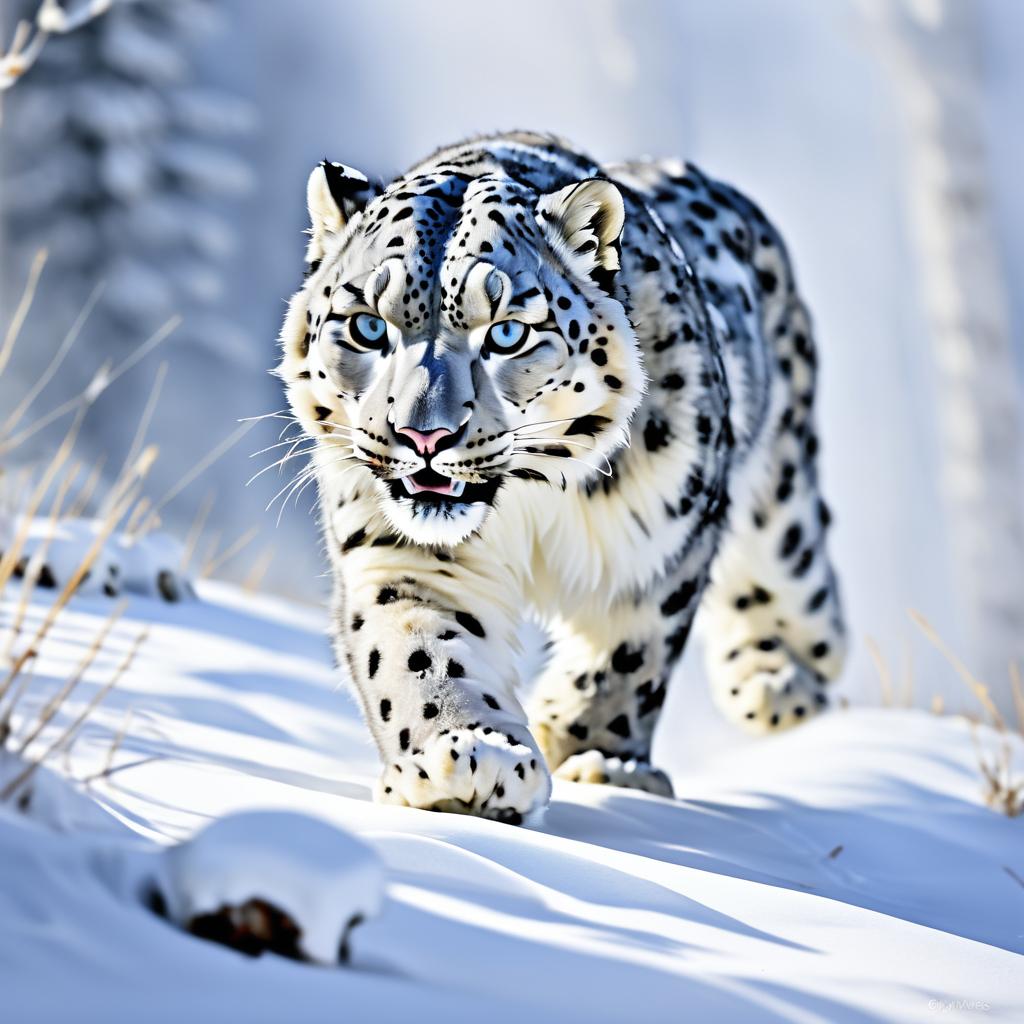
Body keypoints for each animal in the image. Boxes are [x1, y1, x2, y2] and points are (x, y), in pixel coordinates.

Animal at [276, 134, 843, 823]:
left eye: (507, 333)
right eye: (366, 325)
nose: (424, 437)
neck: (528, 503)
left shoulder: (662, 548)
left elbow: (628, 660)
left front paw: (600, 758)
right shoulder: (400, 556)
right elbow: (417, 650)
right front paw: (469, 760)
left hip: (780, 512)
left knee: (798, 593)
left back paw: (778, 685)